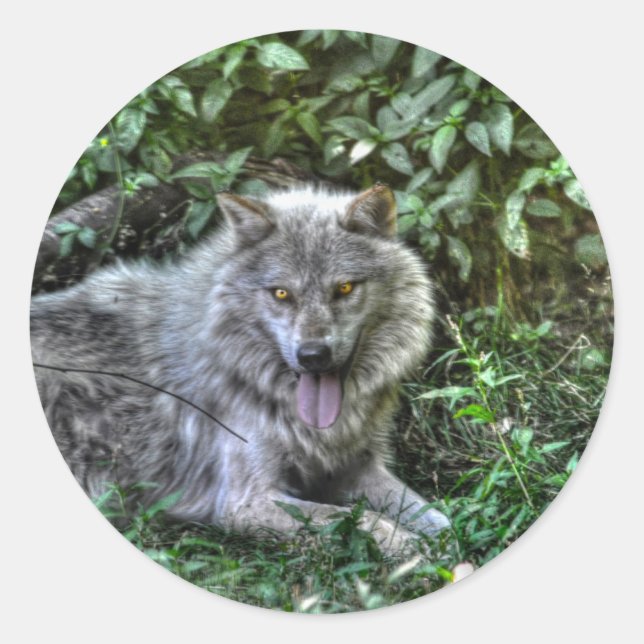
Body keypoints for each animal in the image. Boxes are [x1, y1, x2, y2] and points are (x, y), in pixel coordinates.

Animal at [31, 183, 449, 554]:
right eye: (281, 293)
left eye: (344, 288)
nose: (312, 356)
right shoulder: (246, 502)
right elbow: (357, 519)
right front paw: (412, 548)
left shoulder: (358, 469)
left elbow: (438, 515)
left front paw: (450, 542)